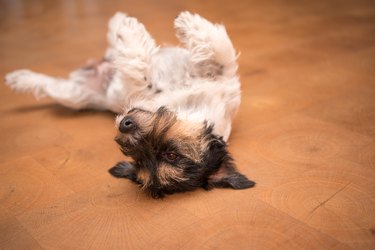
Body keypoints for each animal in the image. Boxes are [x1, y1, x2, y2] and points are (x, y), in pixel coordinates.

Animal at [4, 11, 256, 198]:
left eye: (170, 156)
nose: (124, 124)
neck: (188, 106)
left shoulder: (141, 90)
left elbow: (140, 66)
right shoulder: (221, 78)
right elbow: (220, 49)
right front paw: (185, 22)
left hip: (73, 96)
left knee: (49, 84)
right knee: (111, 47)